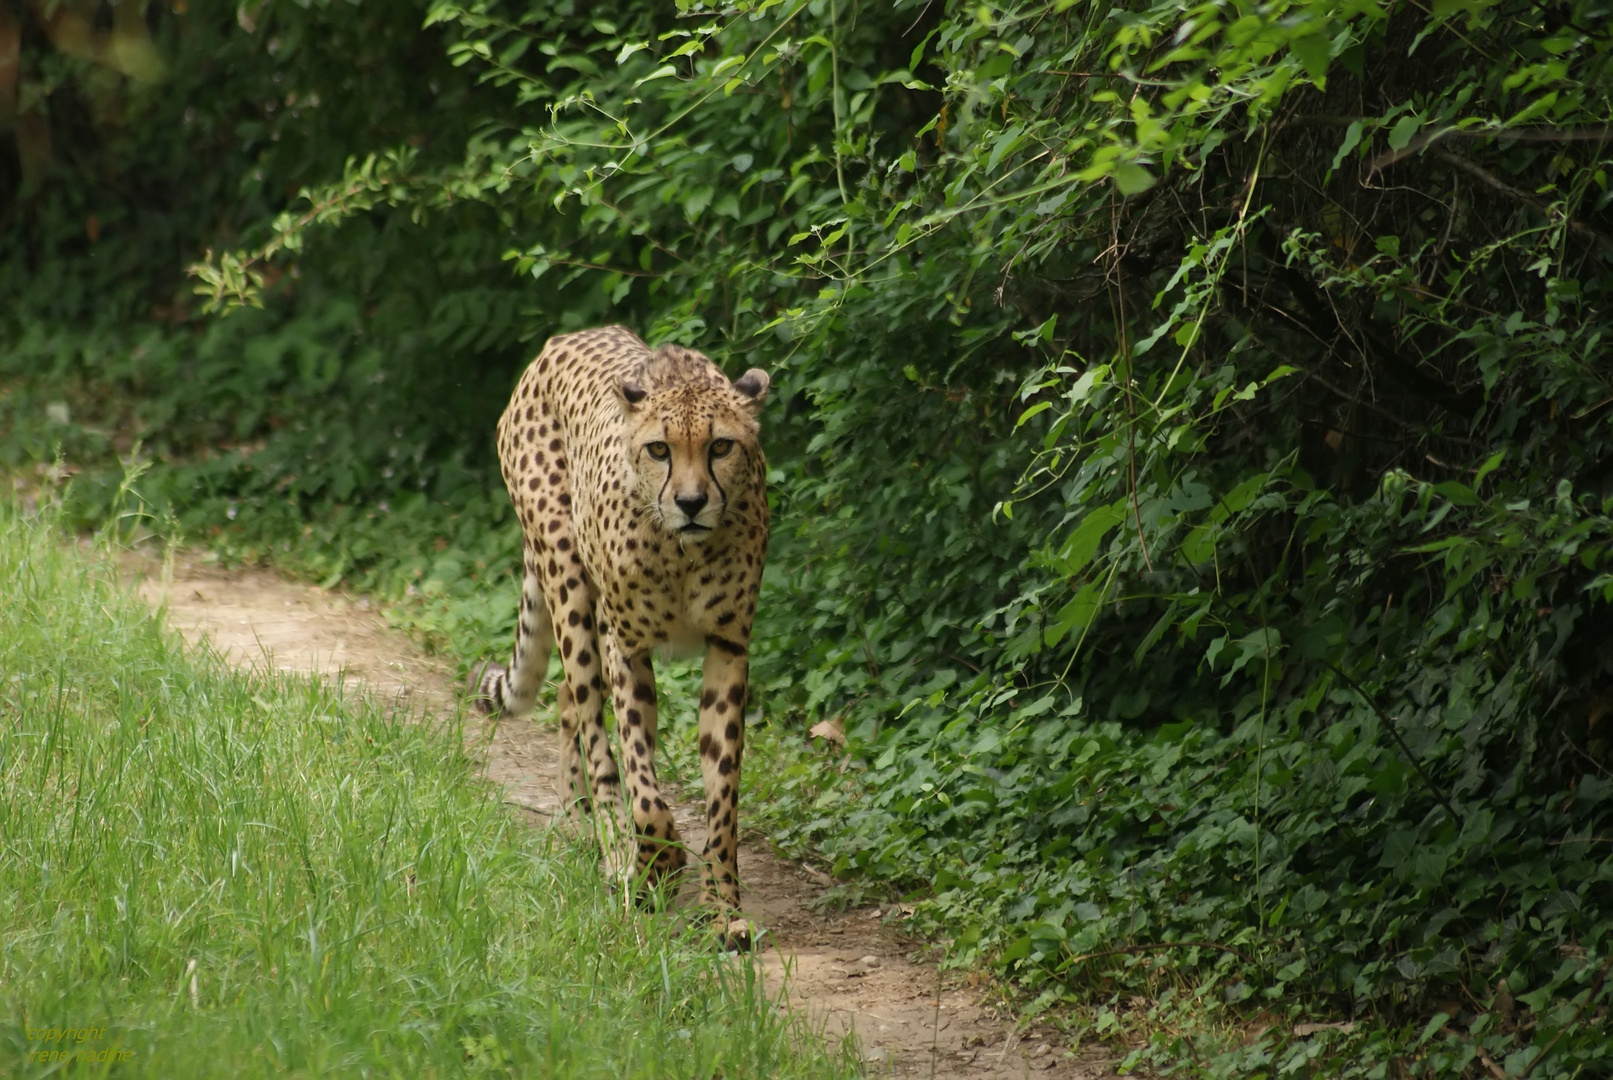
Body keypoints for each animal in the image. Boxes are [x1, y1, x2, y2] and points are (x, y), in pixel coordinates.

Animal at [470, 324, 771, 941]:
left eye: (721, 447)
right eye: (659, 449)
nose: (691, 503)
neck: (684, 551)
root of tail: (564, 339)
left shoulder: (729, 646)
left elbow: (722, 788)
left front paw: (723, 909)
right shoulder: (626, 646)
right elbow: (641, 781)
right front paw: (659, 863)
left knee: (568, 700)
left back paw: (580, 826)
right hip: (567, 576)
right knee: (588, 716)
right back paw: (611, 848)